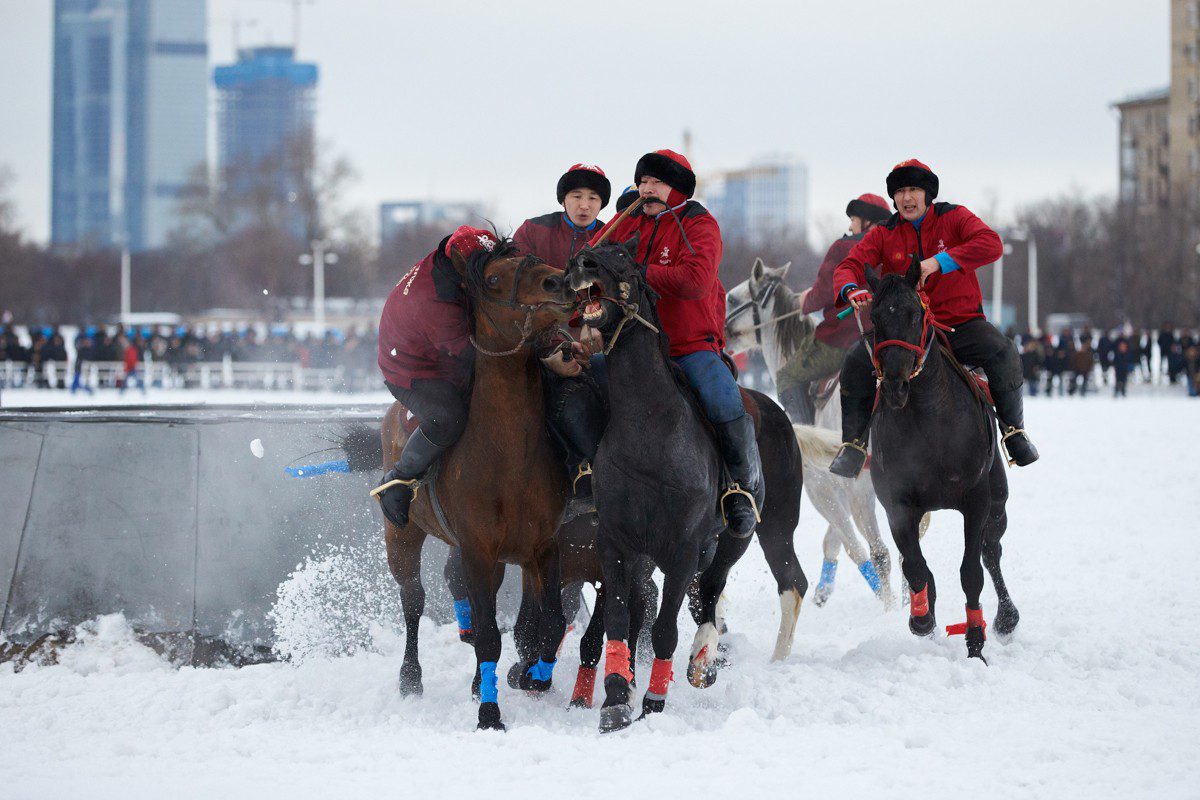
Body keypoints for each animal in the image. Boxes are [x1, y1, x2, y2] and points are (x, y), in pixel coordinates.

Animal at [379, 239, 576, 734]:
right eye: (492, 280)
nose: (559, 282)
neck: (508, 456)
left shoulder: (542, 545)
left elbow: (550, 621)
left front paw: (538, 677)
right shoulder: (477, 548)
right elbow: (488, 636)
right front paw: (490, 714)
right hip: (401, 536)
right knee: (413, 600)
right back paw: (411, 678)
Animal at [564, 237, 806, 734]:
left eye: (624, 258)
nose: (581, 261)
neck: (649, 428)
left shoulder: (680, 548)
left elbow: (664, 630)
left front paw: (653, 702)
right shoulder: (617, 544)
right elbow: (620, 619)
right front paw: (616, 698)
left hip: (757, 532)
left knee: (736, 588)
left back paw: (705, 660)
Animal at [724, 260, 902, 609]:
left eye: (732, 299)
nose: (720, 335)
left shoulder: (824, 491)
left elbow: (853, 546)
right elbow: (834, 540)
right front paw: (825, 588)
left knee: (879, 552)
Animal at [864, 260, 1022, 662]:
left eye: (915, 313)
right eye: (874, 316)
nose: (895, 385)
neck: (929, 417)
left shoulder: (976, 500)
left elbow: (972, 572)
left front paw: (976, 642)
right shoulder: (898, 505)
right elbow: (916, 567)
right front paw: (922, 619)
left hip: (998, 501)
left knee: (992, 553)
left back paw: (1006, 618)